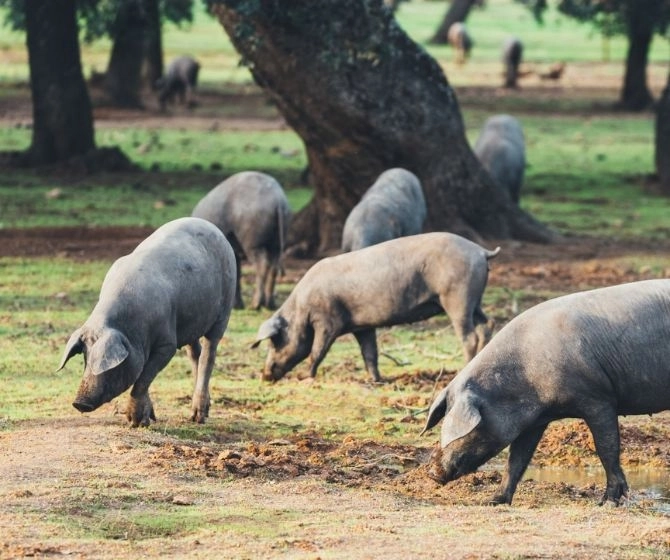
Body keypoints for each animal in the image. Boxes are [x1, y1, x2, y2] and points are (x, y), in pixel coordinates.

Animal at [57, 217, 238, 426]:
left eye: (106, 364)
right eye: (85, 358)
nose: (79, 402)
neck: (130, 328)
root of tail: (211, 226)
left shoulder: (167, 344)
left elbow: (143, 378)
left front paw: (135, 422)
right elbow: (143, 374)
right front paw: (150, 418)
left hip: (224, 309)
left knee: (209, 353)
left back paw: (197, 418)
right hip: (191, 320)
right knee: (195, 354)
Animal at [192, 171, 292, 310]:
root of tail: (278, 200)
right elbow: (238, 273)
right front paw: (238, 305)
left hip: (253, 242)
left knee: (262, 264)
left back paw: (256, 304)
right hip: (276, 242)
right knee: (274, 266)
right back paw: (269, 304)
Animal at [252, 233, 498, 384]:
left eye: (275, 342)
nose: (264, 375)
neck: (300, 308)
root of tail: (480, 251)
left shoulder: (328, 321)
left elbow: (317, 350)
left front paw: (306, 378)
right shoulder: (362, 326)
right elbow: (370, 352)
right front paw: (375, 380)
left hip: (457, 296)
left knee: (469, 335)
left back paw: (463, 367)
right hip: (474, 298)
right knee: (487, 324)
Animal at [422, 280, 670, 508]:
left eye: (455, 427)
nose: (431, 472)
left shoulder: (599, 399)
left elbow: (606, 449)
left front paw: (606, 503)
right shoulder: (534, 421)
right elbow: (516, 460)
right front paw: (493, 501)